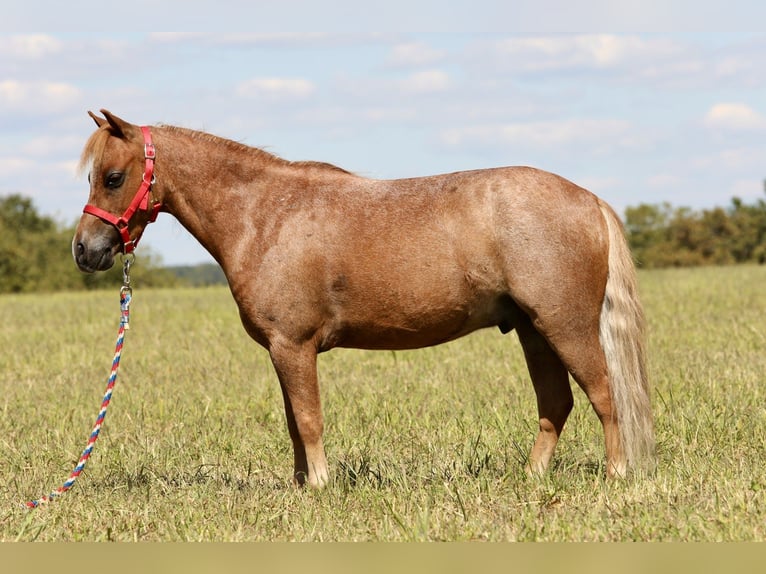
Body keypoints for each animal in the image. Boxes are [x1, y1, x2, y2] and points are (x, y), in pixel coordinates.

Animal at [72, 109, 655, 487]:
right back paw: (531, 479)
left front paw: (321, 486)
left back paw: (616, 475)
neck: (265, 214)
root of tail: (589, 200)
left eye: (113, 177)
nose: (85, 250)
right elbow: (294, 421)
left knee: (605, 395)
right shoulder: (284, 351)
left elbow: (308, 420)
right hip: (534, 331)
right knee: (556, 405)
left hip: (565, 326)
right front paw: (302, 486)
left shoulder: (293, 346)